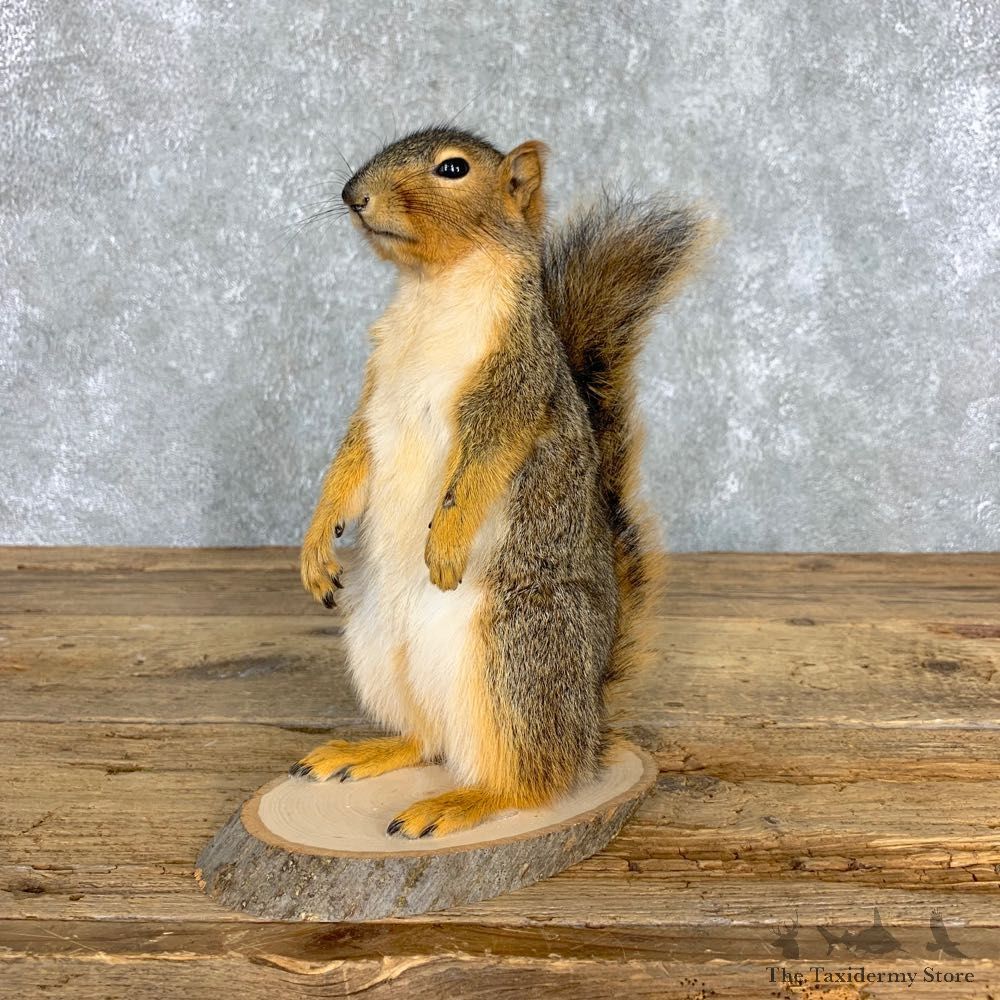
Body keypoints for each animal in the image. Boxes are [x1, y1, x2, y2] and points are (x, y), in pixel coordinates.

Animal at [292, 126, 709, 839]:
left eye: (453, 170)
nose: (353, 194)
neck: (435, 290)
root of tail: (590, 719)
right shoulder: (375, 393)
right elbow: (351, 460)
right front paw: (318, 542)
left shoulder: (513, 386)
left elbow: (480, 467)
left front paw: (445, 542)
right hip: (378, 651)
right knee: (429, 740)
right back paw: (369, 751)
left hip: (516, 655)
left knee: (537, 780)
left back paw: (464, 801)